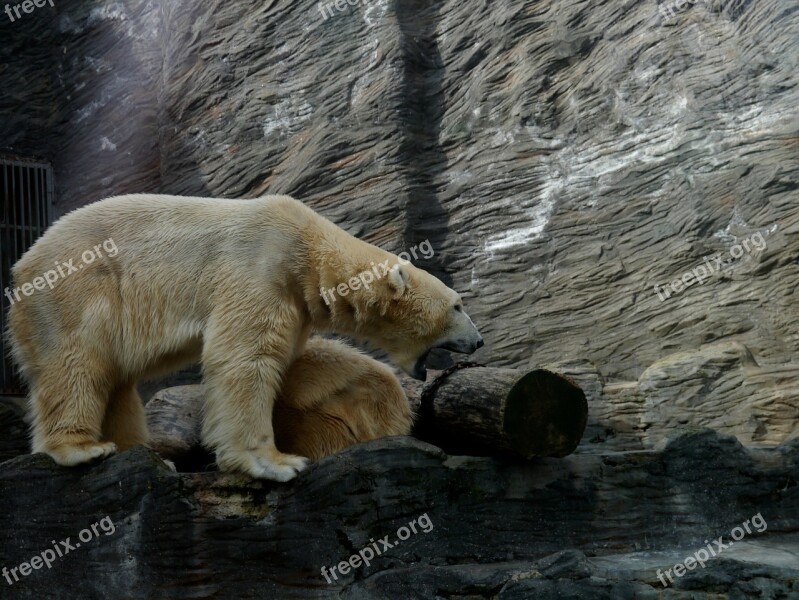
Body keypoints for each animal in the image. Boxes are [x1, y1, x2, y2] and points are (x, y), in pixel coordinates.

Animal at [7, 195, 482, 480]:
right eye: (458, 305)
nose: (478, 341)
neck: (308, 248)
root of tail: (22, 264)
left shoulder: (296, 298)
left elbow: (293, 359)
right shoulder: (259, 266)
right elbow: (246, 358)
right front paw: (276, 462)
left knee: (117, 379)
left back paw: (146, 455)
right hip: (78, 286)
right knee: (78, 360)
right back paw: (81, 448)